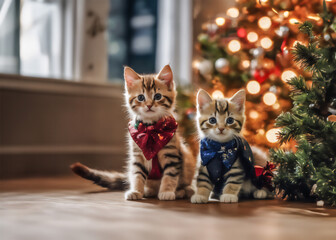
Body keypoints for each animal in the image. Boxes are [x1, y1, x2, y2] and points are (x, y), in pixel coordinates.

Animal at [71, 64, 197, 202]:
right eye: (141, 97)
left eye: (158, 96)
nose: (149, 105)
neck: (151, 129)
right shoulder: (137, 156)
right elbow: (137, 175)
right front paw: (136, 191)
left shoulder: (172, 155)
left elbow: (170, 175)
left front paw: (167, 191)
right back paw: (148, 191)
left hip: (187, 160)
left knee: (186, 183)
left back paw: (181, 191)